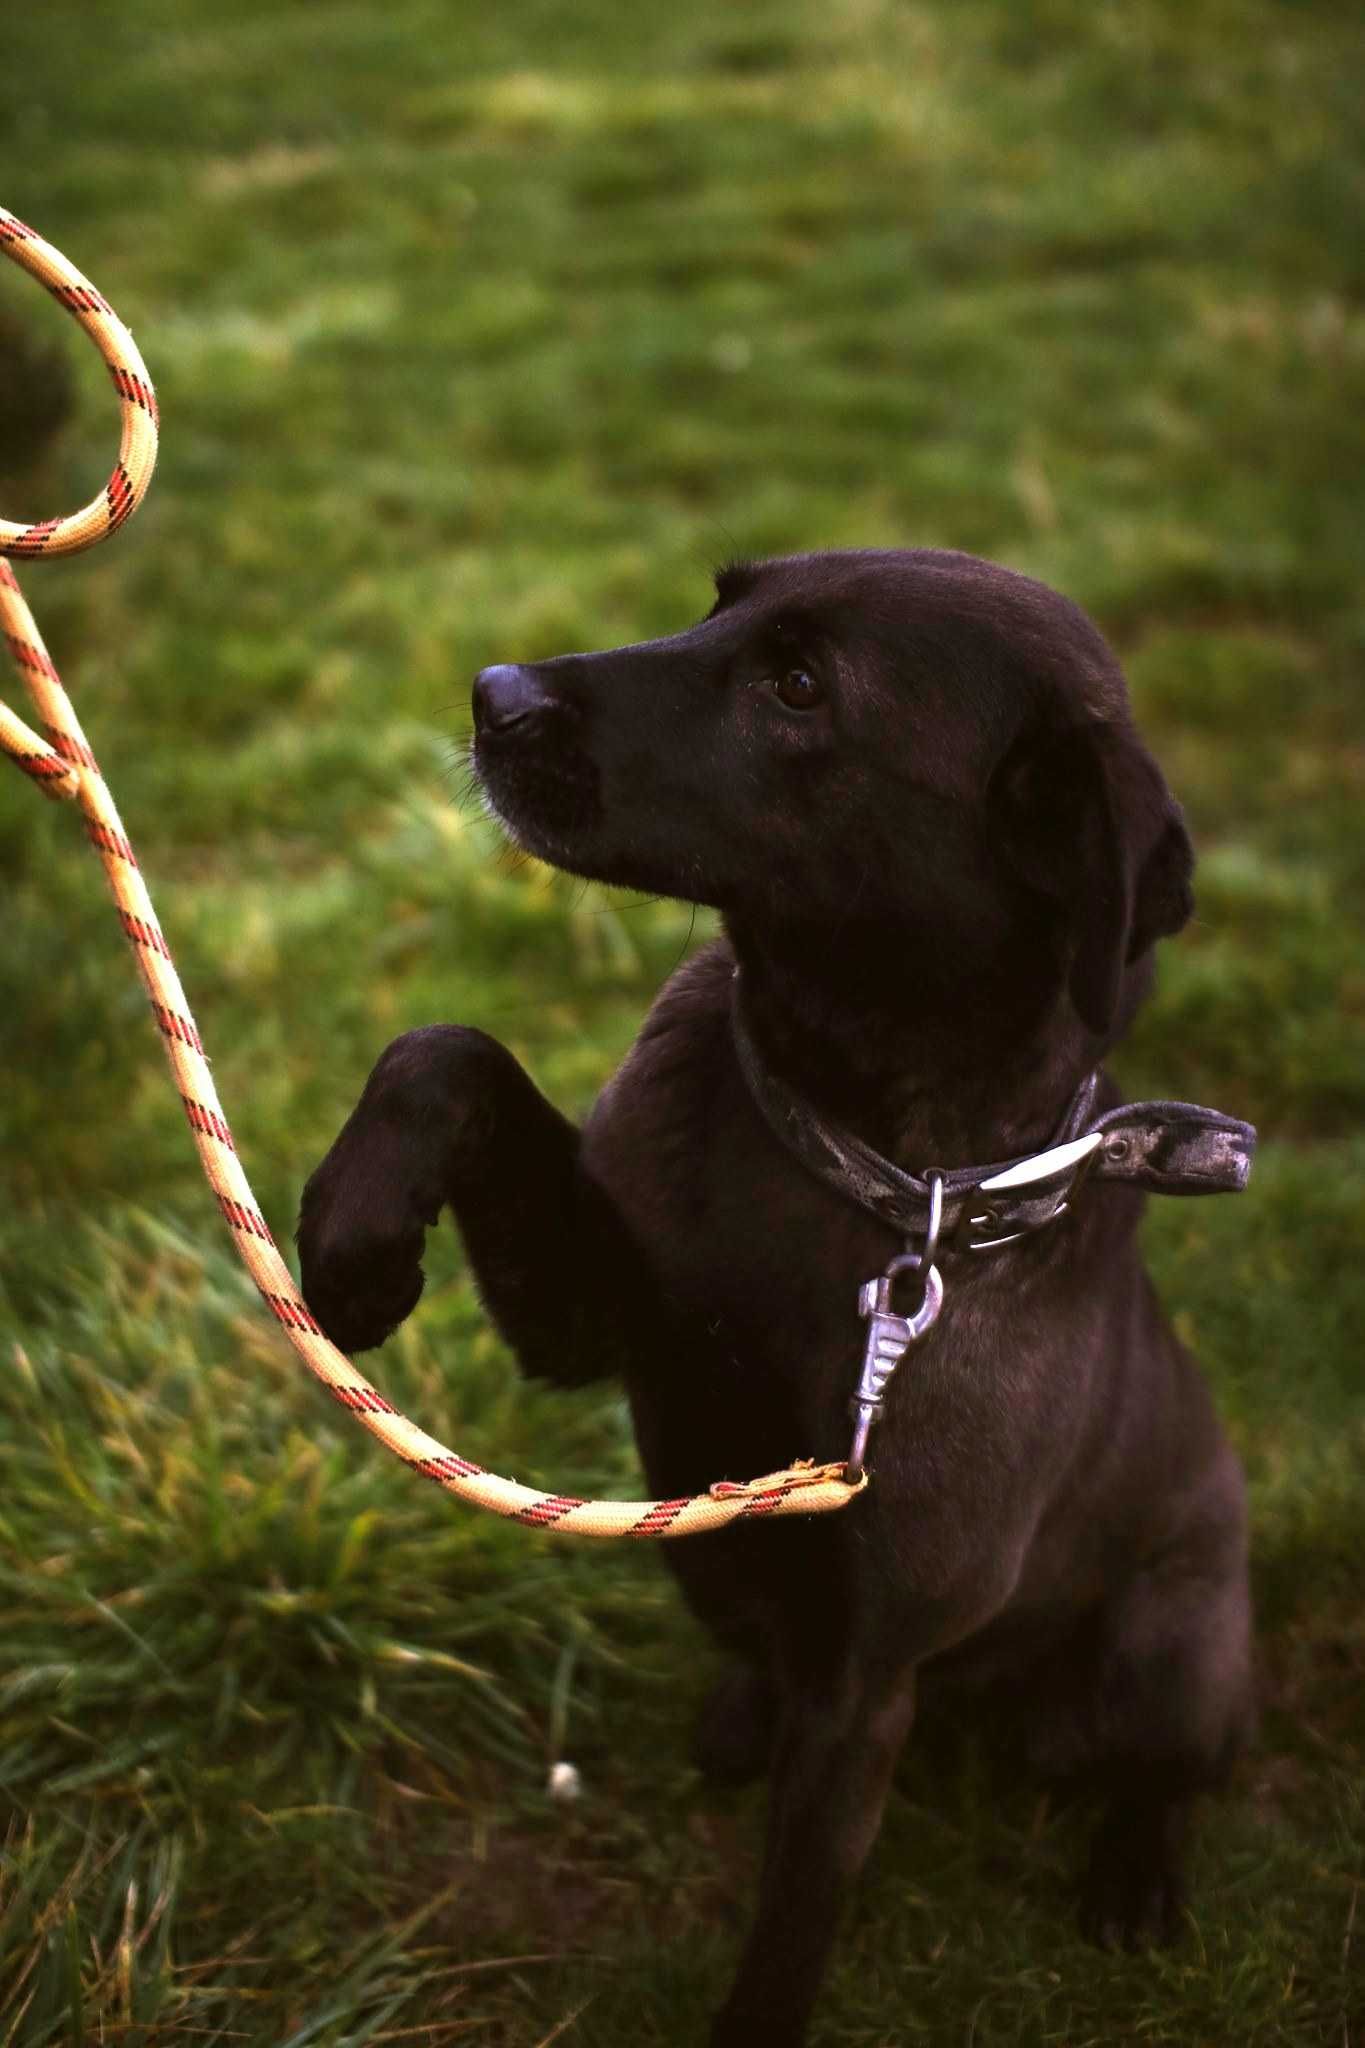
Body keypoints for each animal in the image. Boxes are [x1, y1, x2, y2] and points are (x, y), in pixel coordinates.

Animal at [300, 552, 1260, 2039]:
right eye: (720, 603)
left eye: (800, 686)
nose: (494, 694)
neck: (845, 1156)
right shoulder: (586, 1318)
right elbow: (447, 1048)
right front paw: (354, 1237)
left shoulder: (864, 1683)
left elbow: (789, 1940)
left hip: (1174, 1640)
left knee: (1164, 1772)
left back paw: (1136, 1879)